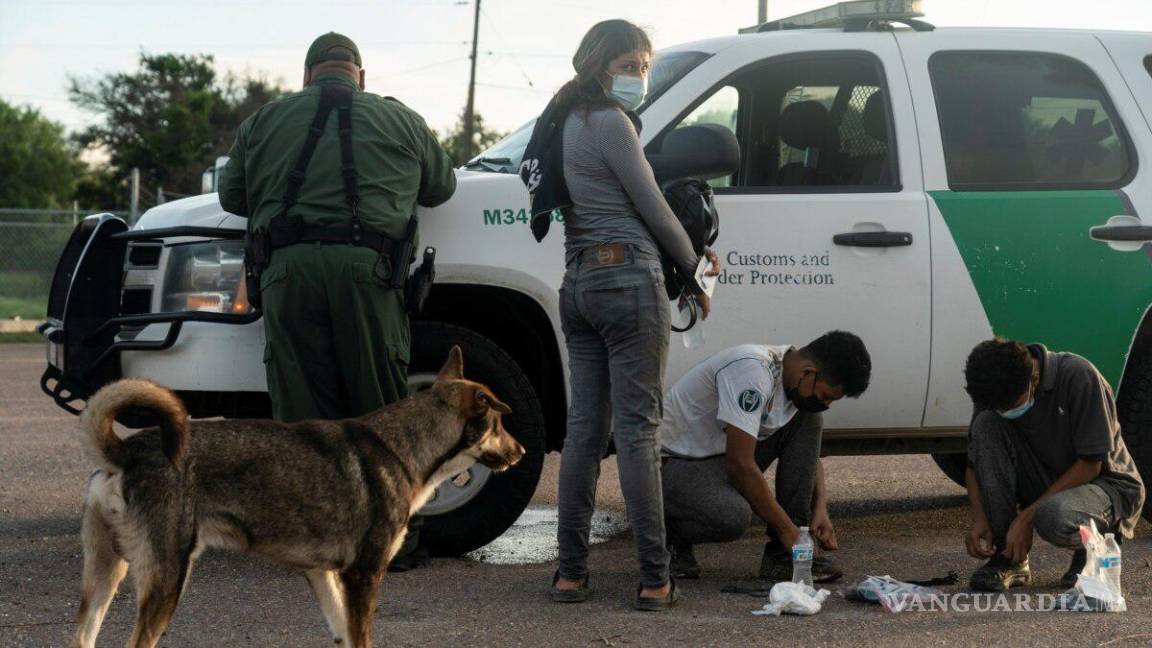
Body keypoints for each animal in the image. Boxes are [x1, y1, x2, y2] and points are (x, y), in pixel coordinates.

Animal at [68, 343, 527, 645]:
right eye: (500, 425)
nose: (521, 452)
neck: (400, 447)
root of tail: (126, 451)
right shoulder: (363, 575)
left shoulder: (323, 576)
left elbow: (343, 636)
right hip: (166, 578)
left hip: (105, 578)